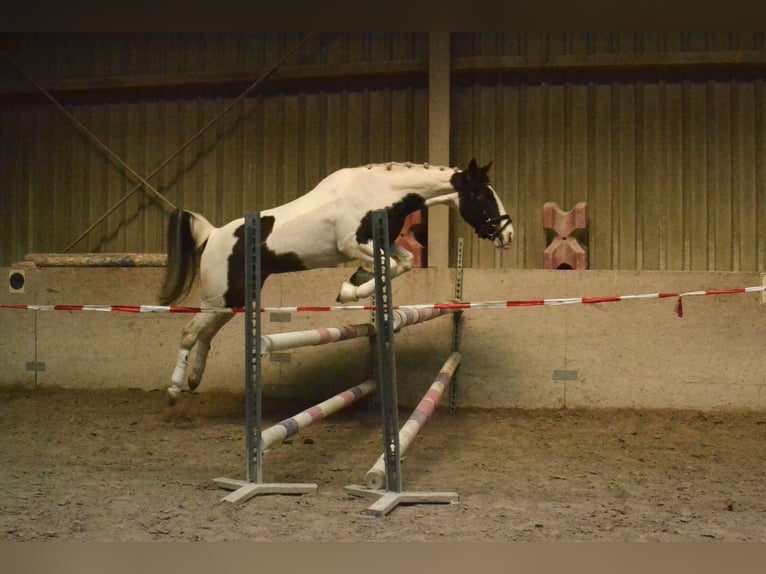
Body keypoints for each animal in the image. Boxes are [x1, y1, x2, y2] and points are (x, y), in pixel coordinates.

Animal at [158, 159, 513, 403]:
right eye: (480, 195)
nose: (507, 234)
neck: (381, 193)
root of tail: (212, 235)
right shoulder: (351, 243)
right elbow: (388, 264)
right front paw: (350, 290)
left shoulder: (380, 243)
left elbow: (403, 263)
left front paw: (355, 284)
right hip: (219, 297)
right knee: (189, 332)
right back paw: (174, 390)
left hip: (233, 299)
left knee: (205, 334)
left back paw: (194, 381)